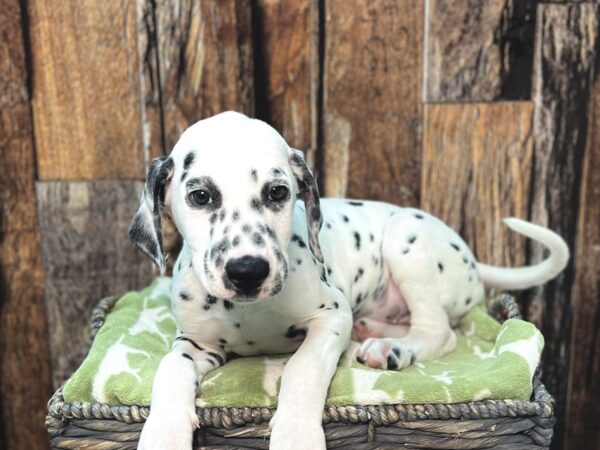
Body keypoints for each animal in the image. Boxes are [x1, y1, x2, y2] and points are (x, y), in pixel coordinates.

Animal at [129, 110, 568, 450]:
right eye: (200, 196)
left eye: (277, 192)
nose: (248, 270)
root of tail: (474, 261)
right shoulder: (195, 342)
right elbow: (170, 370)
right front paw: (163, 434)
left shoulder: (331, 316)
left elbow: (302, 368)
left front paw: (296, 436)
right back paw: (373, 333)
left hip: (406, 240)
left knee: (440, 332)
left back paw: (392, 348)